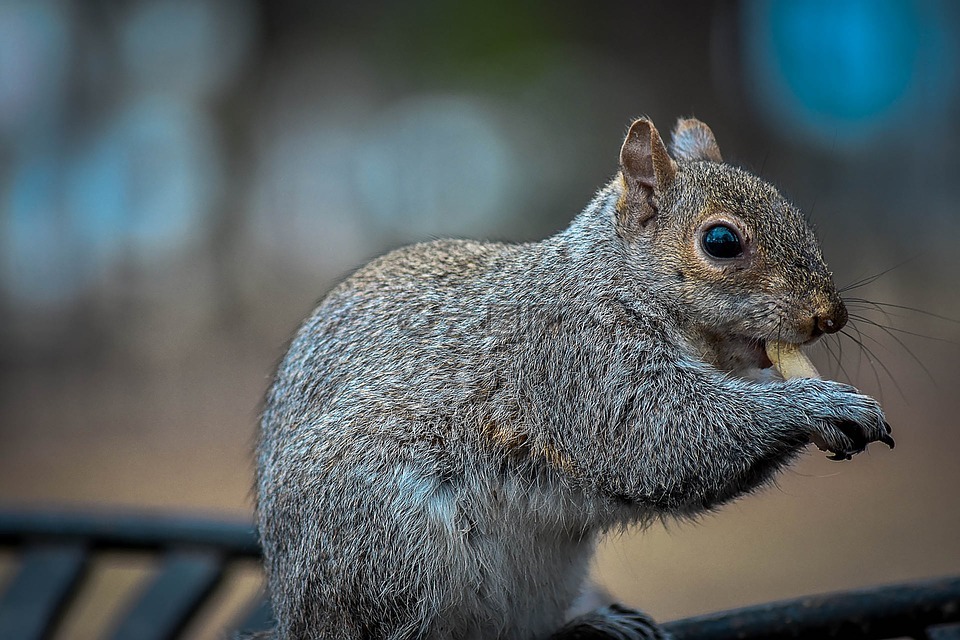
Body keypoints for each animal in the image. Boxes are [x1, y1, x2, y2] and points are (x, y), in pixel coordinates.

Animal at [255, 116, 892, 640]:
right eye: (721, 241)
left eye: (796, 215)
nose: (830, 315)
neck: (613, 279)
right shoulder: (577, 362)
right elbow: (667, 435)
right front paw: (819, 404)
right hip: (390, 547)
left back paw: (595, 622)